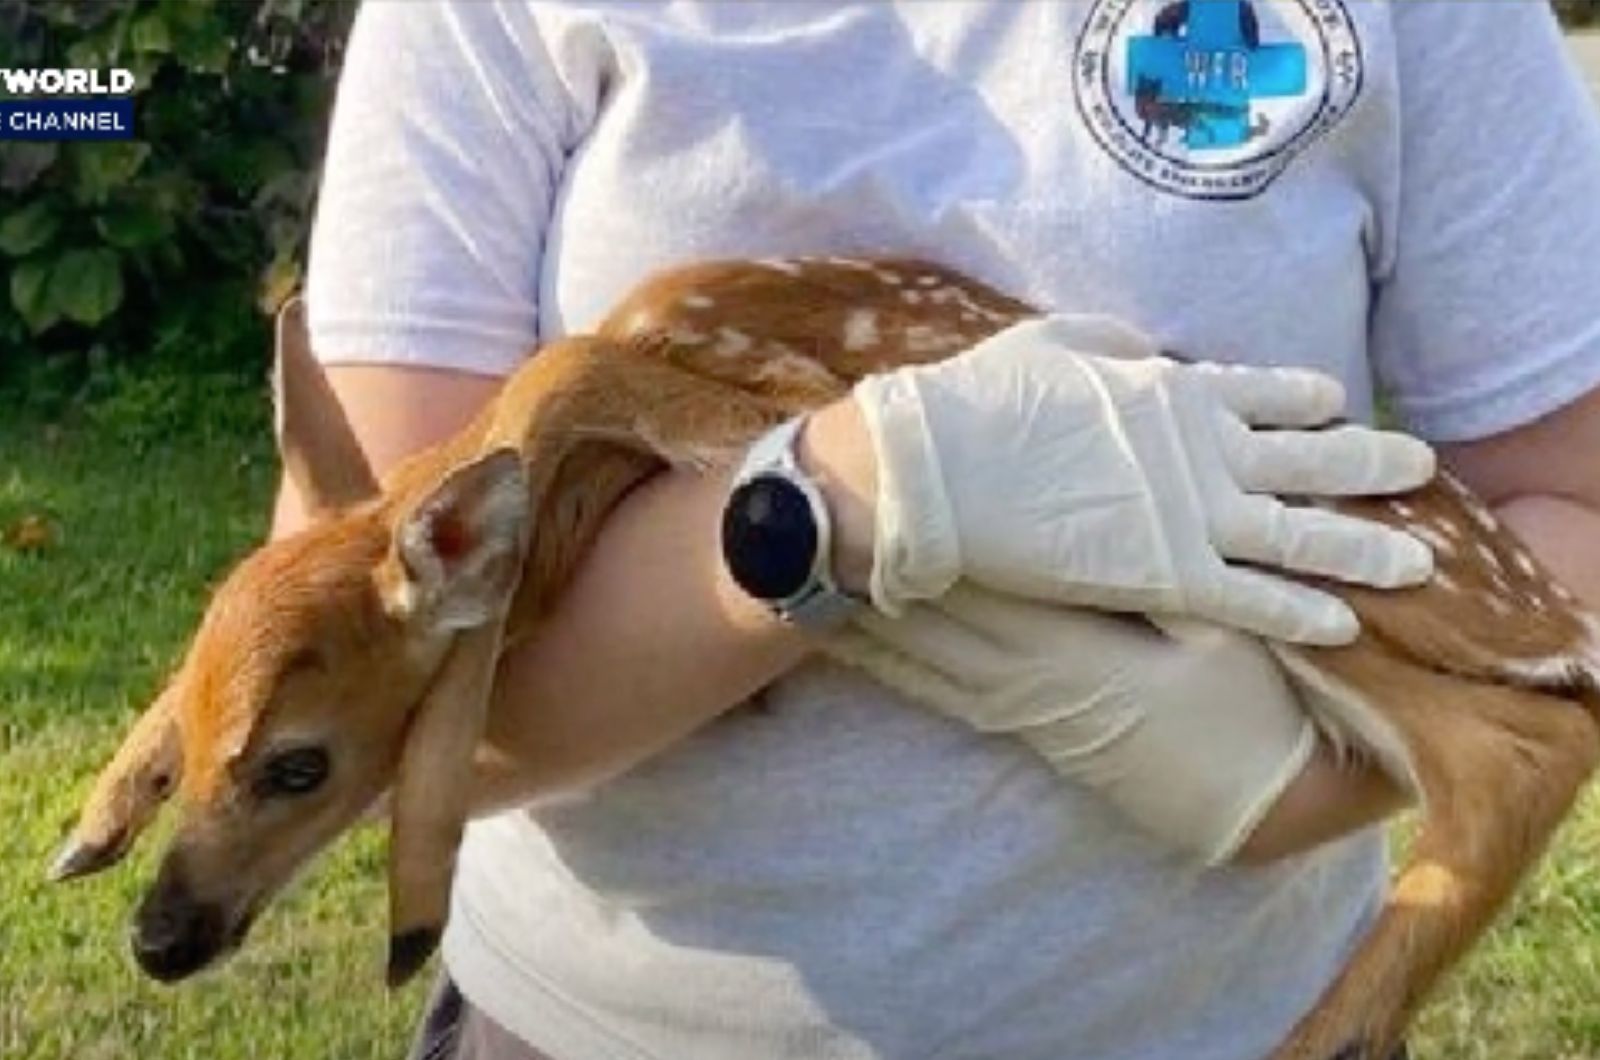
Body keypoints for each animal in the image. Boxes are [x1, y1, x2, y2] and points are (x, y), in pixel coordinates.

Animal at [50, 259, 1600, 1060]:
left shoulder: (742, 386)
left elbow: (554, 380)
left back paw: (1322, 1029)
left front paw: (415, 896)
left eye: (300, 765)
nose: (161, 938)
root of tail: (1544, 612)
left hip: (1343, 570)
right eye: (198, 752)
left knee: (1528, 742)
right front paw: (90, 824)